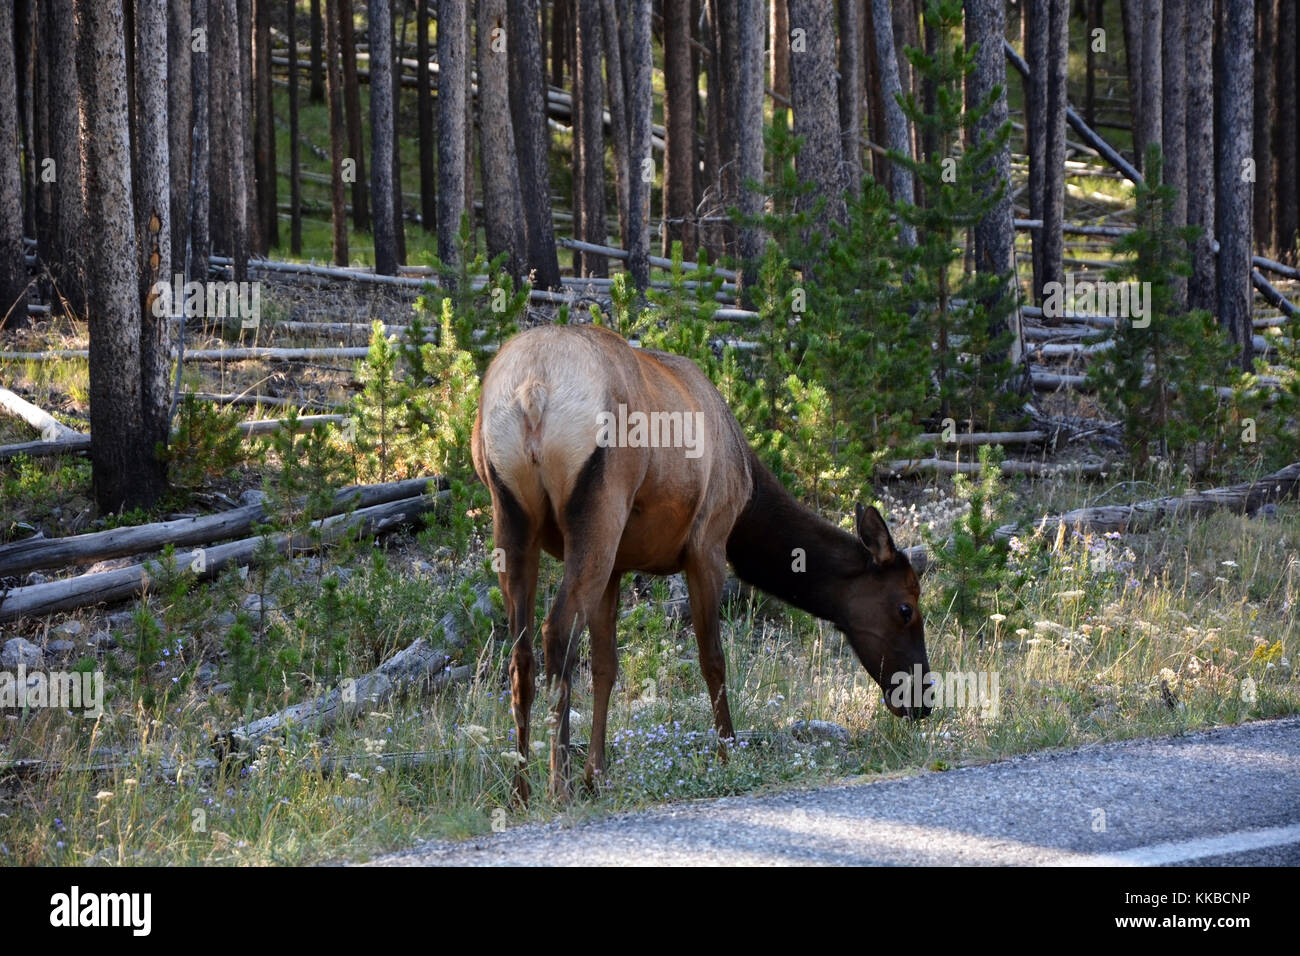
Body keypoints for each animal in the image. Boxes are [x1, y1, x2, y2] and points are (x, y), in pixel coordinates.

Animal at [473, 325, 930, 806]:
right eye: (906, 607)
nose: (922, 699)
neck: (749, 493)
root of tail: (533, 390)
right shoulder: (708, 541)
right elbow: (713, 657)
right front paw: (728, 754)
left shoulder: (618, 565)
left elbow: (606, 667)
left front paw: (597, 775)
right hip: (598, 510)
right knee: (556, 631)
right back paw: (557, 785)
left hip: (512, 516)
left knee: (520, 652)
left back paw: (521, 789)